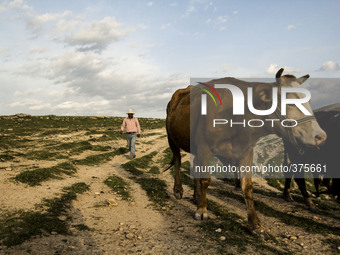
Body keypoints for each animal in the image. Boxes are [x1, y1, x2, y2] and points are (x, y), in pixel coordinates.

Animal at [165, 68, 326, 234]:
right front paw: (202, 210)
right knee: (177, 161)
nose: (320, 136)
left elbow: (247, 187)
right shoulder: (204, 147)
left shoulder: (246, 152)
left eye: (309, 101)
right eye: (291, 102)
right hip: (172, 138)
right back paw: (178, 190)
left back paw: (196, 196)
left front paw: (255, 224)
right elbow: (205, 180)